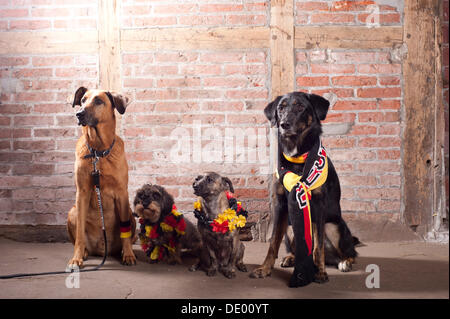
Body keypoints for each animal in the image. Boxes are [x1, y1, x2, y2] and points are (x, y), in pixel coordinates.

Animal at [67, 87, 136, 268]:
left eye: (98, 101)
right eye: (83, 100)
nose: (79, 114)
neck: (98, 152)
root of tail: (102, 249)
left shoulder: (122, 194)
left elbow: (125, 231)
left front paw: (128, 254)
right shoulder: (82, 193)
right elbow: (79, 234)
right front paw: (76, 258)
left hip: (131, 213)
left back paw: (122, 251)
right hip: (72, 211)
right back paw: (84, 252)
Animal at [250, 92, 358, 288]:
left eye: (301, 107)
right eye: (281, 108)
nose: (284, 124)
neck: (297, 158)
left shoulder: (318, 205)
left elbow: (318, 246)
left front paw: (320, 273)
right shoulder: (280, 204)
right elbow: (273, 242)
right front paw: (264, 269)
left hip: (334, 226)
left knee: (350, 252)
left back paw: (344, 262)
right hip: (290, 226)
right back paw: (291, 258)